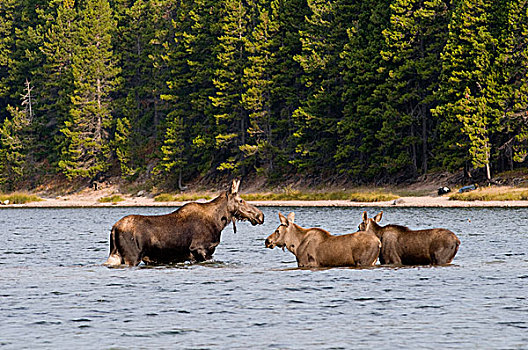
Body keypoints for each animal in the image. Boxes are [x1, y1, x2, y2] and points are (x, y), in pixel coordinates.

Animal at [104, 179, 264, 266]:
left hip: (115, 255)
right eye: (241, 200)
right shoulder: (200, 249)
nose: (260, 215)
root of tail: (114, 229)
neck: (218, 222)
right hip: (131, 257)